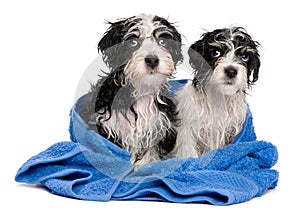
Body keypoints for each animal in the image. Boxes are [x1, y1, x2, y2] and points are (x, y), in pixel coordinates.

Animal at [79, 13, 182, 168]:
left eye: (162, 41)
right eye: (133, 42)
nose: (152, 60)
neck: (140, 91)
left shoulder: (159, 125)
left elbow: (151, 154)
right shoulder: (110, 127)